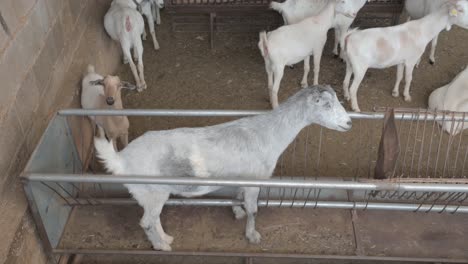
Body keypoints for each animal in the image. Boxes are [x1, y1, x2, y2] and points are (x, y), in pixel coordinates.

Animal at [95, 86, 352, 252]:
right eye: (327, 105)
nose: (349, 122)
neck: (269, 133)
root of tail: (121, 159)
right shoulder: (255, 180)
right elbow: (254, 210)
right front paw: (252, 235)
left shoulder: (242, 178)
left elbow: (237, 195)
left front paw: (237, 211)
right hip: (151, 191)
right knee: (147, 222)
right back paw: (161, 247)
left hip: (153, 194)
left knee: (154, 218)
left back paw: (166, 238)